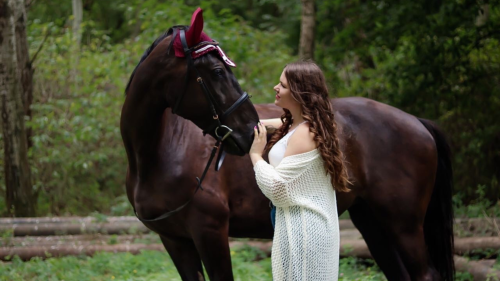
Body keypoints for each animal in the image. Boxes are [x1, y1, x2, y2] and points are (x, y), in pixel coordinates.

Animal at [120, 8, 454, 280]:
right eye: (216, 71)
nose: (249, 131)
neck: (159, 153)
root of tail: (417, 122)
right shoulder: (175, 241)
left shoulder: (210, 232)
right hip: (373, 223)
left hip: (404, 226)